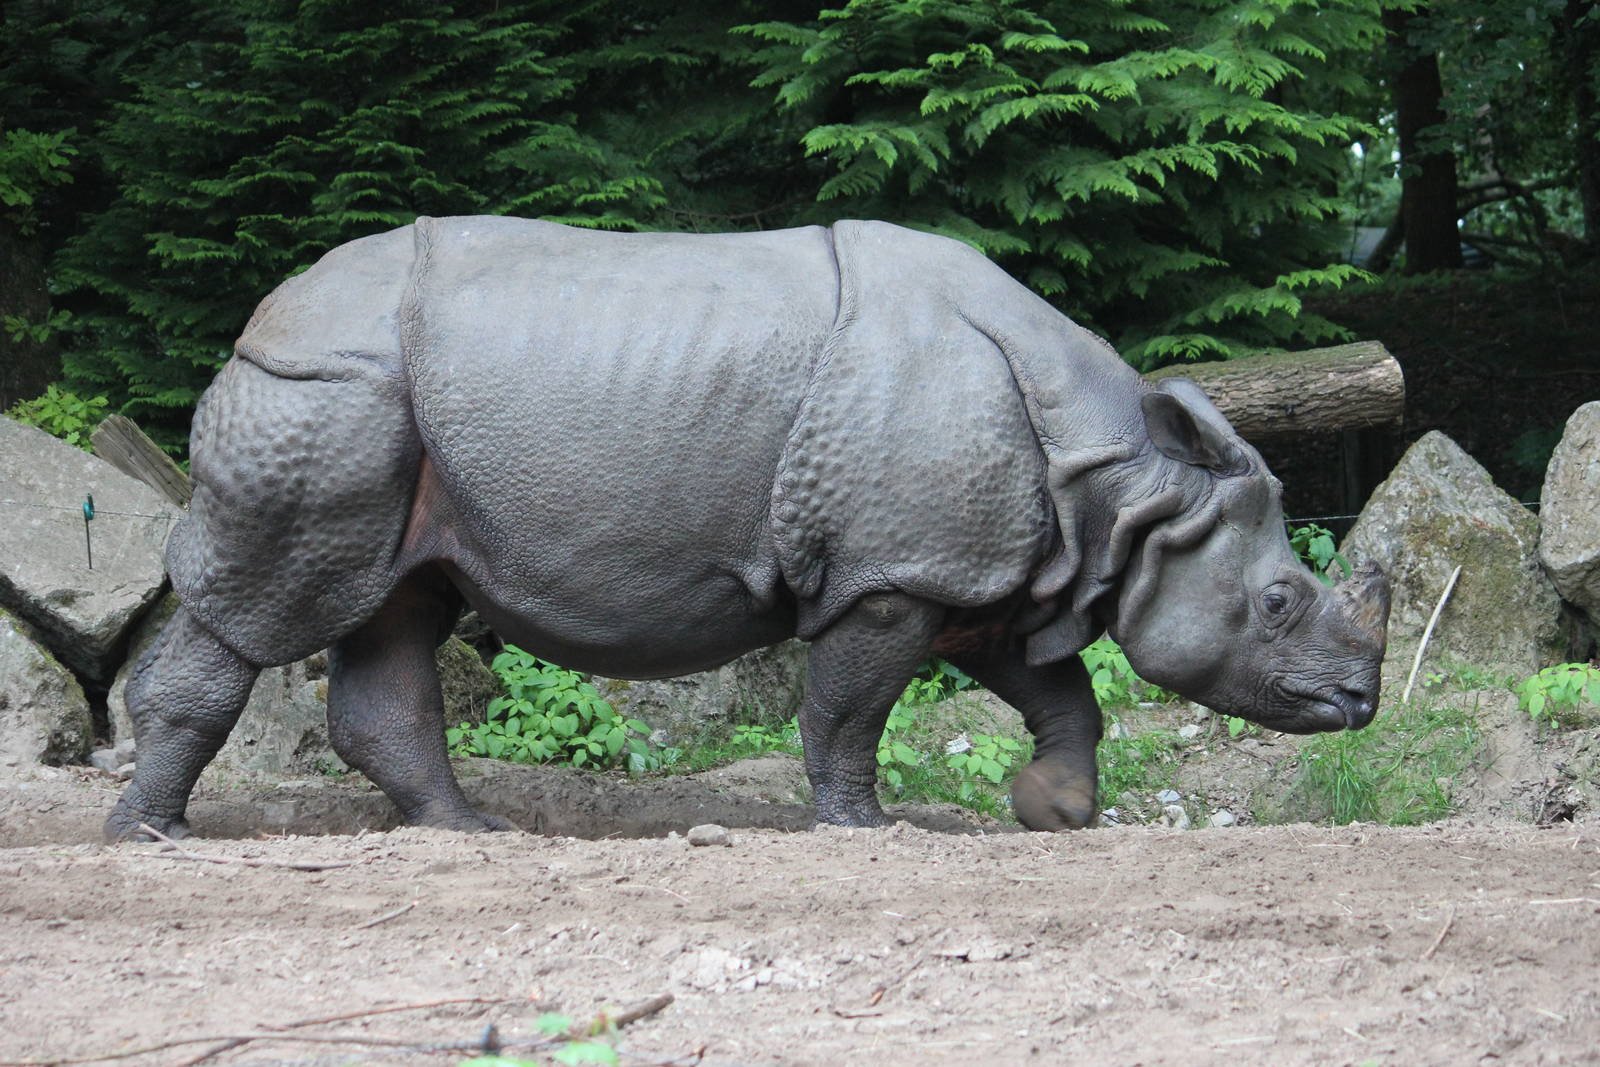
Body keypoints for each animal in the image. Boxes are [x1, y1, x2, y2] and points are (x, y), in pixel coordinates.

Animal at [106, 216, 1390, 841]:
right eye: (1278, 601)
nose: (1359, 702)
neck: (1126, 484)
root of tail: (262, 314)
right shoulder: (893, 569)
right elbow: (851, 706)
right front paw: (863, 826)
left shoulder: (984, 568)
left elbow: (1059, 690)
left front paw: (1058, 812)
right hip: (326, 391)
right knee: (265, 601)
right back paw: (154, 838)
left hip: (396, 411)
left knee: (401, 604)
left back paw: (471, 832)